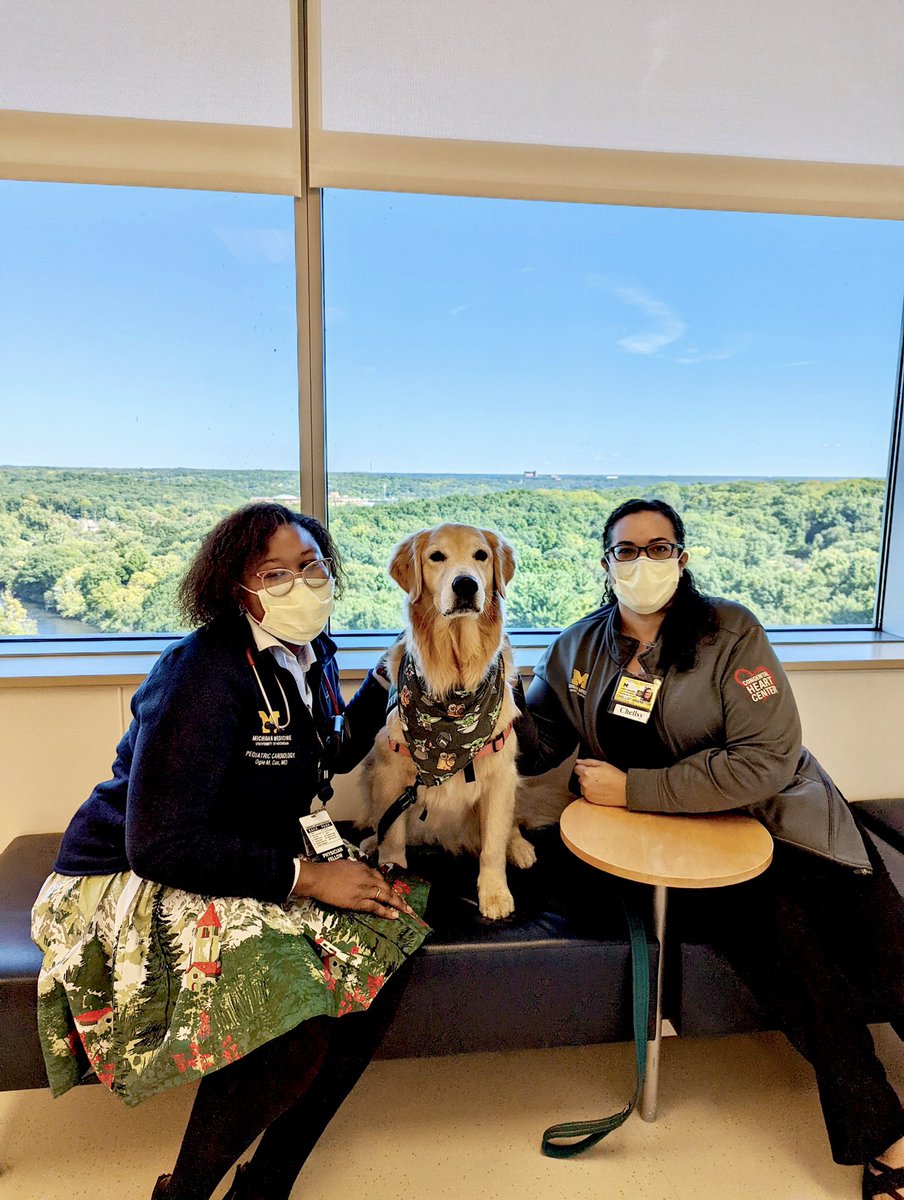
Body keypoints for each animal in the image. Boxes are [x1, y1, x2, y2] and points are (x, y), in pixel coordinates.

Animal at [364, 523, 535, 916]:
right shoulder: (392, 774)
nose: (466, 585)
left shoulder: (500, 776)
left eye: (481, 555)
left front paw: (494, 894)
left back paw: (520, 847)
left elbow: (493, 845)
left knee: (511, 827)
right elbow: (392, 838)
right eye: (436, 556)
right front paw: (392, 876)